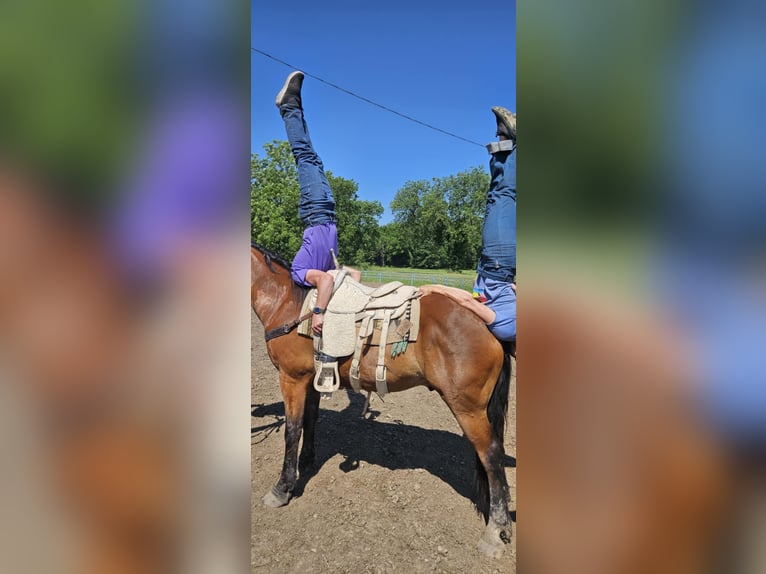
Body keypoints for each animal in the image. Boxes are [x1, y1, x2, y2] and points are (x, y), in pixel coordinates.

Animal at [252, 243, 516, 560]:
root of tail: (488, 322)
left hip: (468, 407)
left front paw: (282, 489)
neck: (285, 301)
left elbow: (292, 430)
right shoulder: (312, 378)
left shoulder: (291, 379)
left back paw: (494, 531)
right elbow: (310, 421)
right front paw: (307, 460)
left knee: (492, 455)